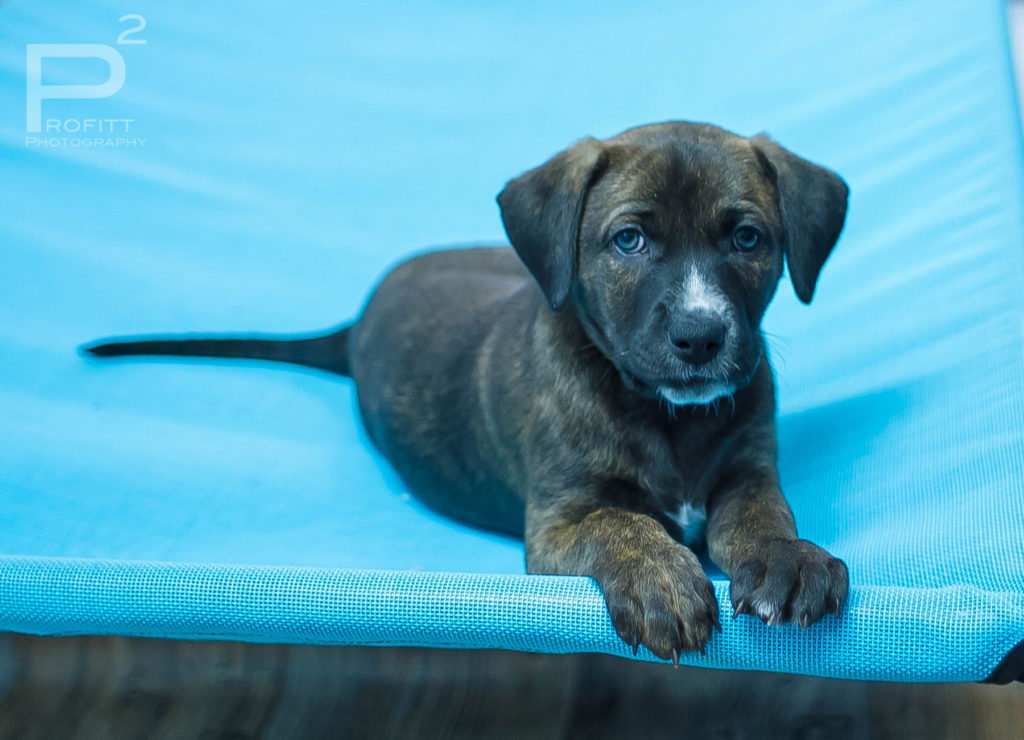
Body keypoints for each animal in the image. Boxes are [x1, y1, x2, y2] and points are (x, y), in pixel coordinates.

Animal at [85, 121, 850, 662]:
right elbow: (620, 525)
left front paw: (787, 558)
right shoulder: (559, 522)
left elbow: (762, 516)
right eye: (629, 240)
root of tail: (359, 322)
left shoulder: (750, 471)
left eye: (747, 239)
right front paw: (659, 578)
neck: (665, 415)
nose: (701, 336)